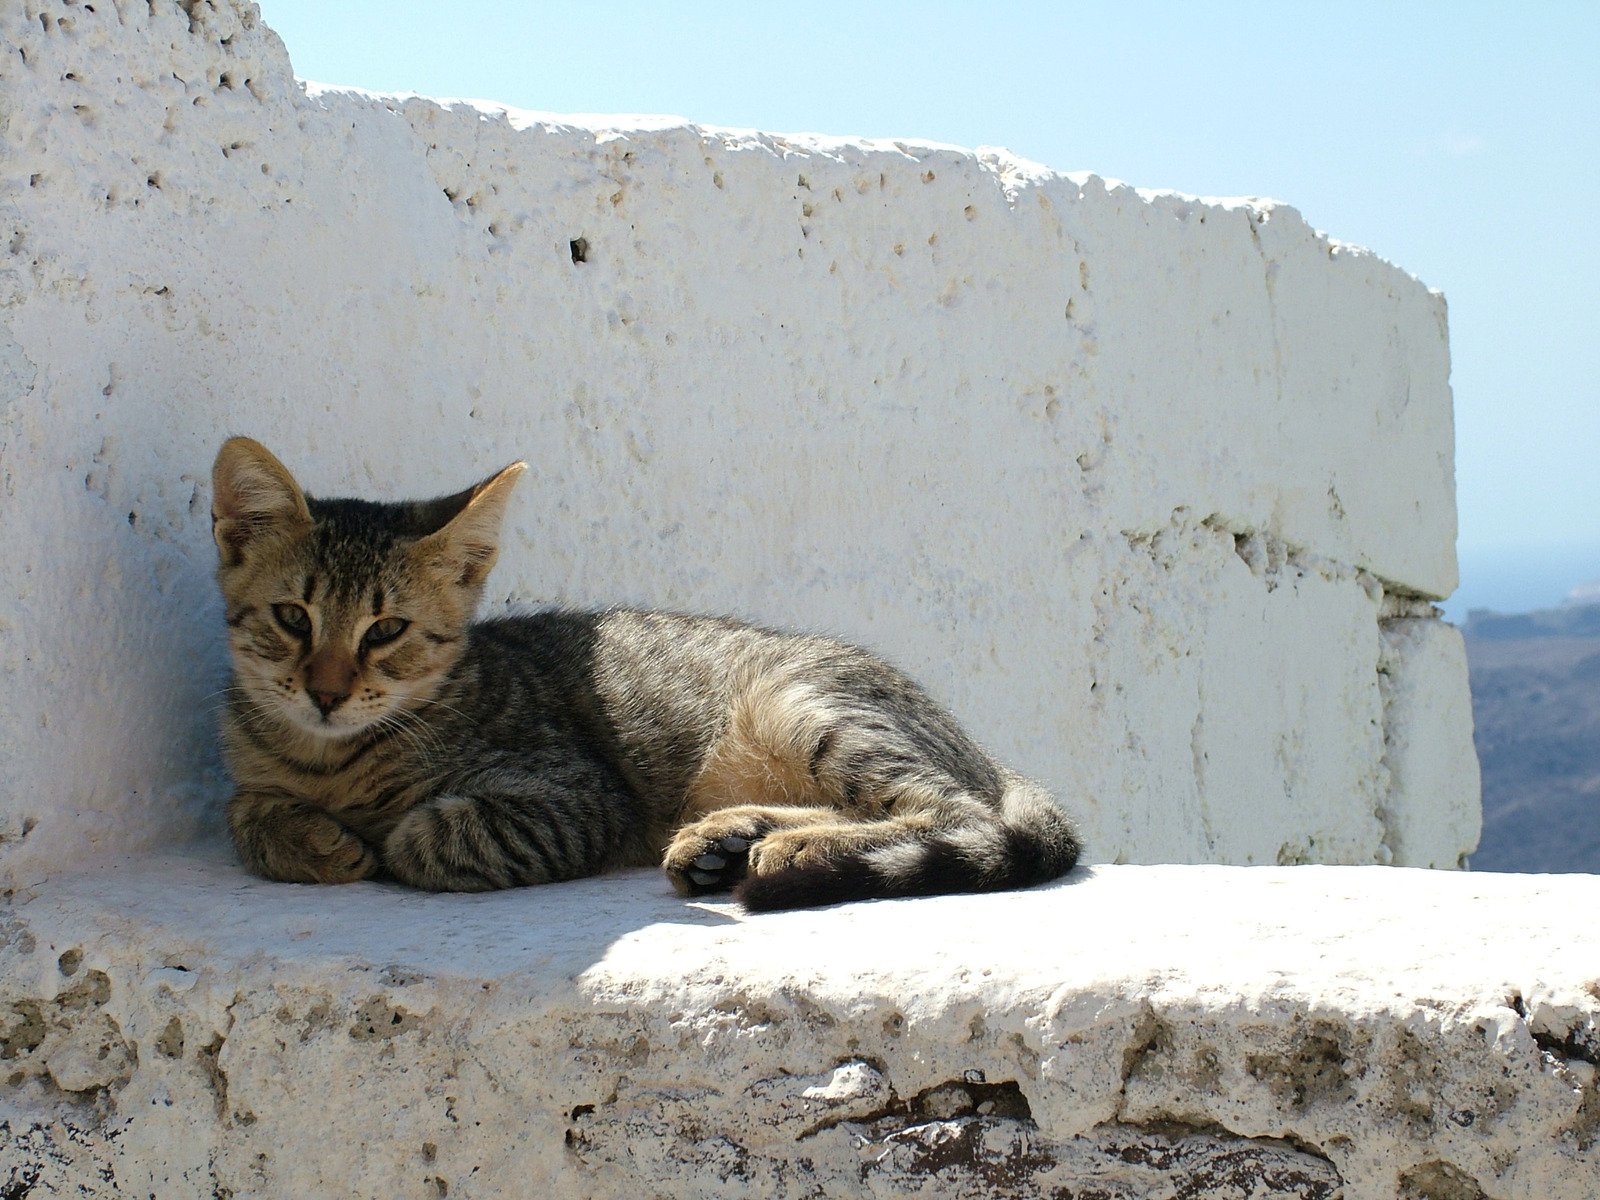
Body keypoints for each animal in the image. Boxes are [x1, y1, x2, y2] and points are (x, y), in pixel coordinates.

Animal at [212, 438, 1081, 915]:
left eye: (385, 630)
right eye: (293, 618)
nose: (325, 692)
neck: (328, 761)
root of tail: (980, 748)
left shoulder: (571, 796)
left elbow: (421, 835)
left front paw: (371, 835)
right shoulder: (254, 775)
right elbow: (246, 814)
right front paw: (309, 839)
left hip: (802, 700)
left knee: (959, 814)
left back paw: (793, 850)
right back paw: (733, 837)